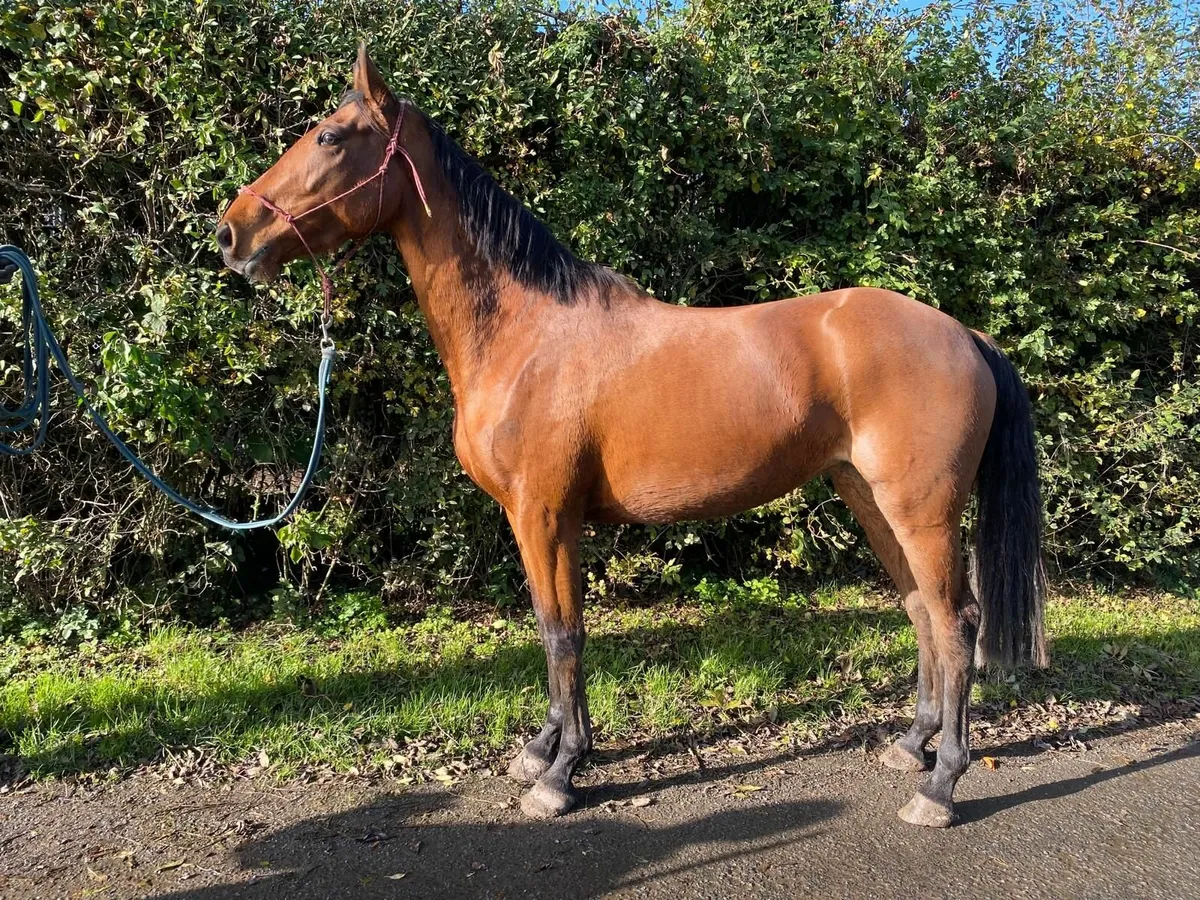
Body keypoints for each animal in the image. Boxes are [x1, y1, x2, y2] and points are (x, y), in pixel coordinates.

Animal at [217, 46, 1046, 829]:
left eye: (329, 136)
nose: (232, 233)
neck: (526, 334)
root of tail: (963, 335)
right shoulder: (540, 520)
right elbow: (555, 630)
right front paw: (543, 751)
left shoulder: (545, 514)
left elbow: (563, 635)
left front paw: (559, 776)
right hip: (871, 501)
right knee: (922, 613)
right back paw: (910, 747)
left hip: (922, 511)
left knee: (957, 622)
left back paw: (939, 786)